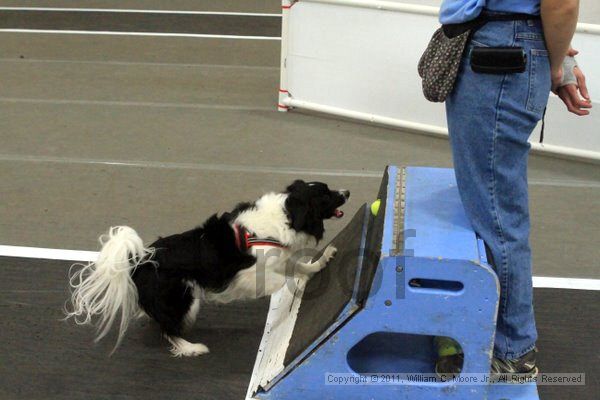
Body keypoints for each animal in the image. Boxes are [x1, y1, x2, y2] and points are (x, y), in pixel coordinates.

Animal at [64, 180, 346, 356]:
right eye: (326, 195)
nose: (347, 192)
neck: (287, 215)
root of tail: (140, 261)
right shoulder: (249, 275)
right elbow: (281, 279)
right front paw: (296, 291)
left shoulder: (281, 258)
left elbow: (299, 267)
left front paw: (321, 262)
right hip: (185, 298)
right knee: (168, 329)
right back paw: (191, 348)